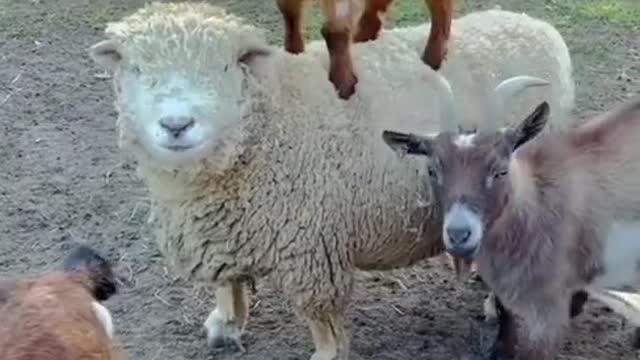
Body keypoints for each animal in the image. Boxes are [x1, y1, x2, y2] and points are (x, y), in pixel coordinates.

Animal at [89, 2, 576, 358]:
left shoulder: (313, 248)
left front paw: (326, 353)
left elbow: (320, 316)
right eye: (135, 69)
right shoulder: (221, 229)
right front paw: (225, 322)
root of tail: (535, 24)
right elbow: (227, 283)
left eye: (227, 68)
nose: (176, 124)